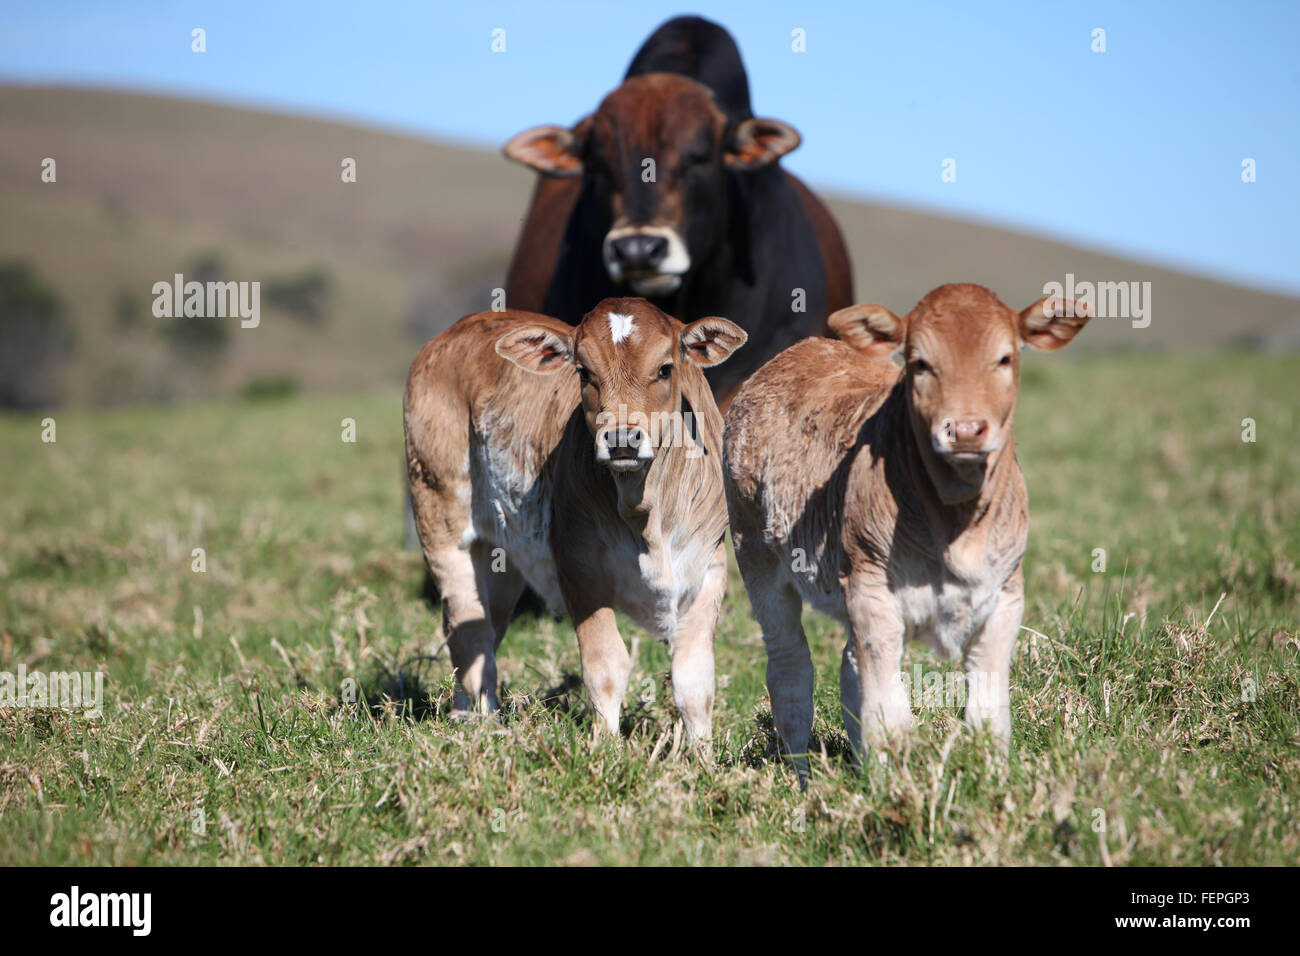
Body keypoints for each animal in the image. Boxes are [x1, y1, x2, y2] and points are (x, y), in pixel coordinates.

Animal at [400, 299, 748, 749]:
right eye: (584, 372)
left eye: (665, 369)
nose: (621, 439)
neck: (646, 508)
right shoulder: (580, 571)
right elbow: (606, 666)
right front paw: (607, 748)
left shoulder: (707, 569)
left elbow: (694, 680)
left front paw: (701, 755)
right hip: (442, 525)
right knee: (468, 633)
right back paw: (483, 727)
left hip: (502, 561)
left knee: (482, 630)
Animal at [728, 283, 1092, 780]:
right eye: (920, 362)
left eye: (1004, 358)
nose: (966, 430)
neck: (957, 522)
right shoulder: (871, 590)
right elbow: (889, 715)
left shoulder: (1005, 598)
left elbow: (987, 714)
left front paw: (992, 778)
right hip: (756, 558)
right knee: (790, 667)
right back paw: (801, 777)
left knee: (849, 667)